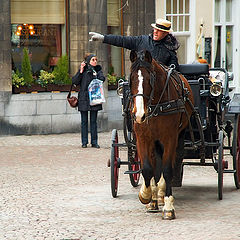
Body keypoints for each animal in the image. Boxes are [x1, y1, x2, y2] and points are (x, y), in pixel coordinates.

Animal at [128, 49, 194, 220]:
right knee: (155, 165)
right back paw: (154, 198)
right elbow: (147, 168)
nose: (139, 115)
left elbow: (167, 169)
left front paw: (169, 206)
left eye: (149, 79)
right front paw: (146, 195)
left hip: (177, 136)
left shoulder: (170, 138)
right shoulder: (142, 138)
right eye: (130, 79)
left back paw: (161, 194)